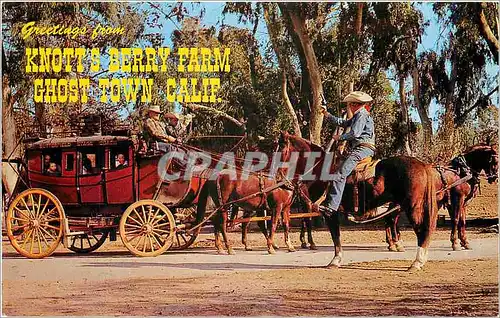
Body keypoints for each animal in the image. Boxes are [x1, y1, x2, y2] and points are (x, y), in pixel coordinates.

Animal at [280, 132, 440, 270]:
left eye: (281, 150)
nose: (279, 174)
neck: (321, 171)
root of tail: (422, 165)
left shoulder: (330, 213)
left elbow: (335, 237)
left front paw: (335, 261)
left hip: (413, 207)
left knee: (422, 229)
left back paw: (416, 262)